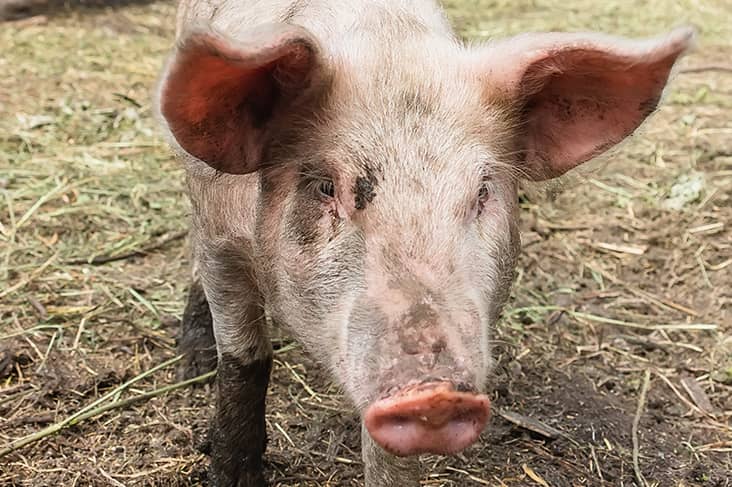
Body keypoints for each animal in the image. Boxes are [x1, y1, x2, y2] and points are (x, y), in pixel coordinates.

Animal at [154, 0, 693, 485]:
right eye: (327, 187)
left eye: (482, 192)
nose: (434, 393)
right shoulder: (219, 235)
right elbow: (245, 359)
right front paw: (228, 471)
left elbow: (387, 456)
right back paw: (194, 363)